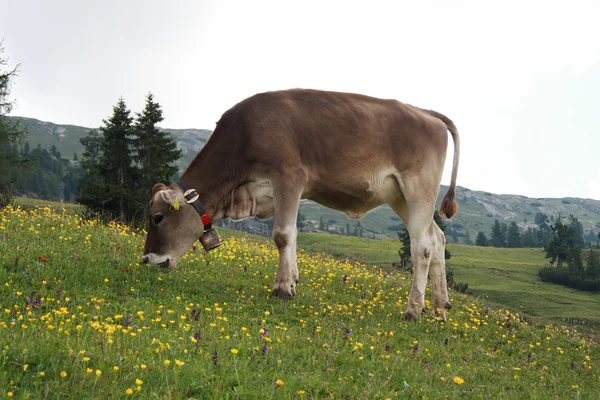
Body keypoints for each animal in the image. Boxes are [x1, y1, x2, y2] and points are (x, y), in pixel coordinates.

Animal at [142, 89, 460, 320]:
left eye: (157, 217)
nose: (146, 260)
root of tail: (426, 113)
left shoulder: (289, 178)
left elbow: (282, 235)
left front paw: (282, 289)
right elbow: (293, 235)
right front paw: (292, 280)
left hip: (418, 188)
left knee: (422, 246)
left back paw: (414, 309)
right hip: (400, 197)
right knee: (438, 238)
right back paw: (440, 306)